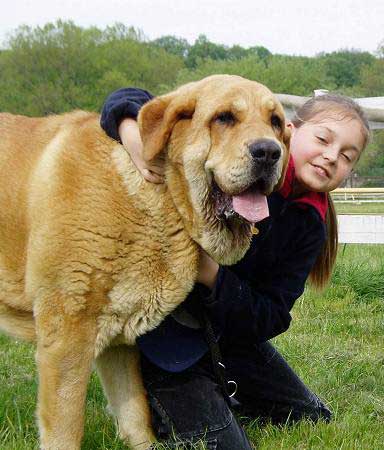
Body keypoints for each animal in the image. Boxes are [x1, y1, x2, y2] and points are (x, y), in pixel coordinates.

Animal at [0, 75, 288, 448]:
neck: (165, 198)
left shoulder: (118, 338)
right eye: (224, 118)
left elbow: (135, 414)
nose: (269, 151)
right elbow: (66, 427)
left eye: (276, 122)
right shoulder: (67, 337)